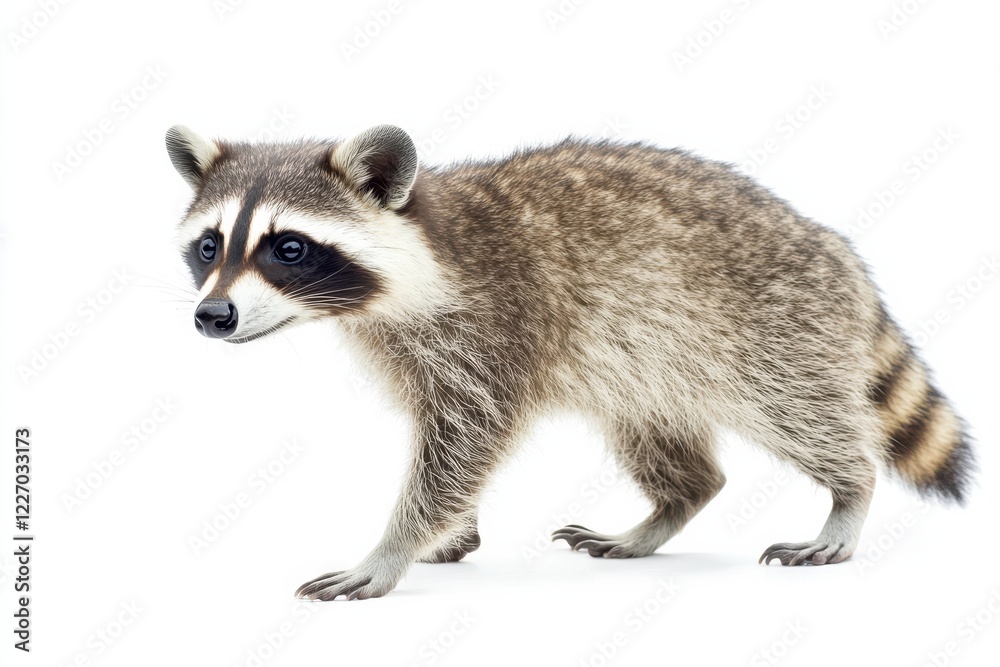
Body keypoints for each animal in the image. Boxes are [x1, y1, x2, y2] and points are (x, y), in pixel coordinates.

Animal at [166, 124, 974, 601]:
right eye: (210, 245)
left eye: (288, 247)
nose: (213, 315)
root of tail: (837, 250)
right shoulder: (413, 349)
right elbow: (448, 444)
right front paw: (452, 531)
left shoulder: (495, 324)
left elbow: (463, 444)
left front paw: (392, 546)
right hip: (650, 363)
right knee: (669, 448)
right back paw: (664, 511)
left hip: (773, 328)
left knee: (801, 412)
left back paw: (849, 492)